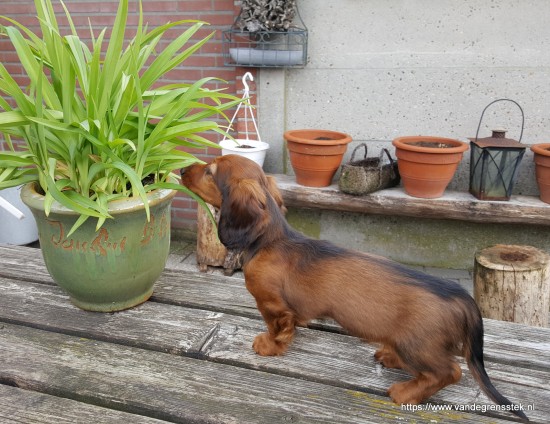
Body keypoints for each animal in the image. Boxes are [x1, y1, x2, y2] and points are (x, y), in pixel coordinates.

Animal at [182, 154, 532, 420]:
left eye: (210, 171)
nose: (183, 170)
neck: (270, 239)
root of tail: (462, 297)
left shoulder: (273, 306)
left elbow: (277, 328)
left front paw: (268, 346)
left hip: (418, 344)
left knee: (449, 372)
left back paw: (406, 391)